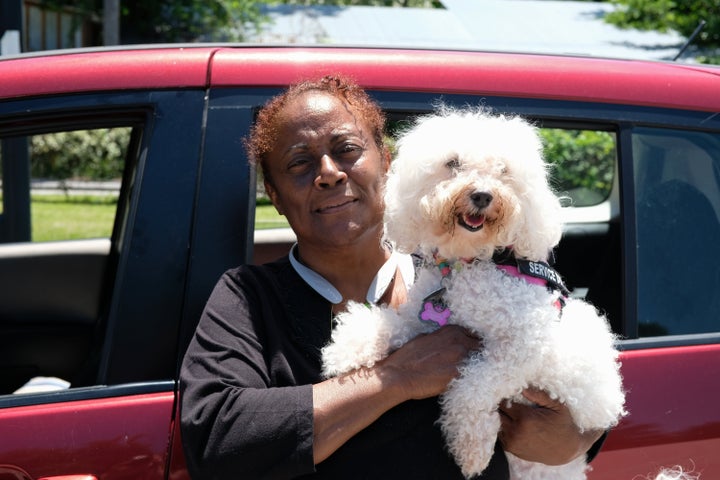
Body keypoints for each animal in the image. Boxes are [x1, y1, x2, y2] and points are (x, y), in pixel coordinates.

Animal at [324, 107, 628, 478]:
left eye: (503, 170)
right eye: (452, 163)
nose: (483, 195)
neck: (470, 263)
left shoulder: (522, 348)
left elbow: (473, 385)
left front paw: (471, 449)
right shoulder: (421, 318)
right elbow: (392, 324)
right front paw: (347, 348)